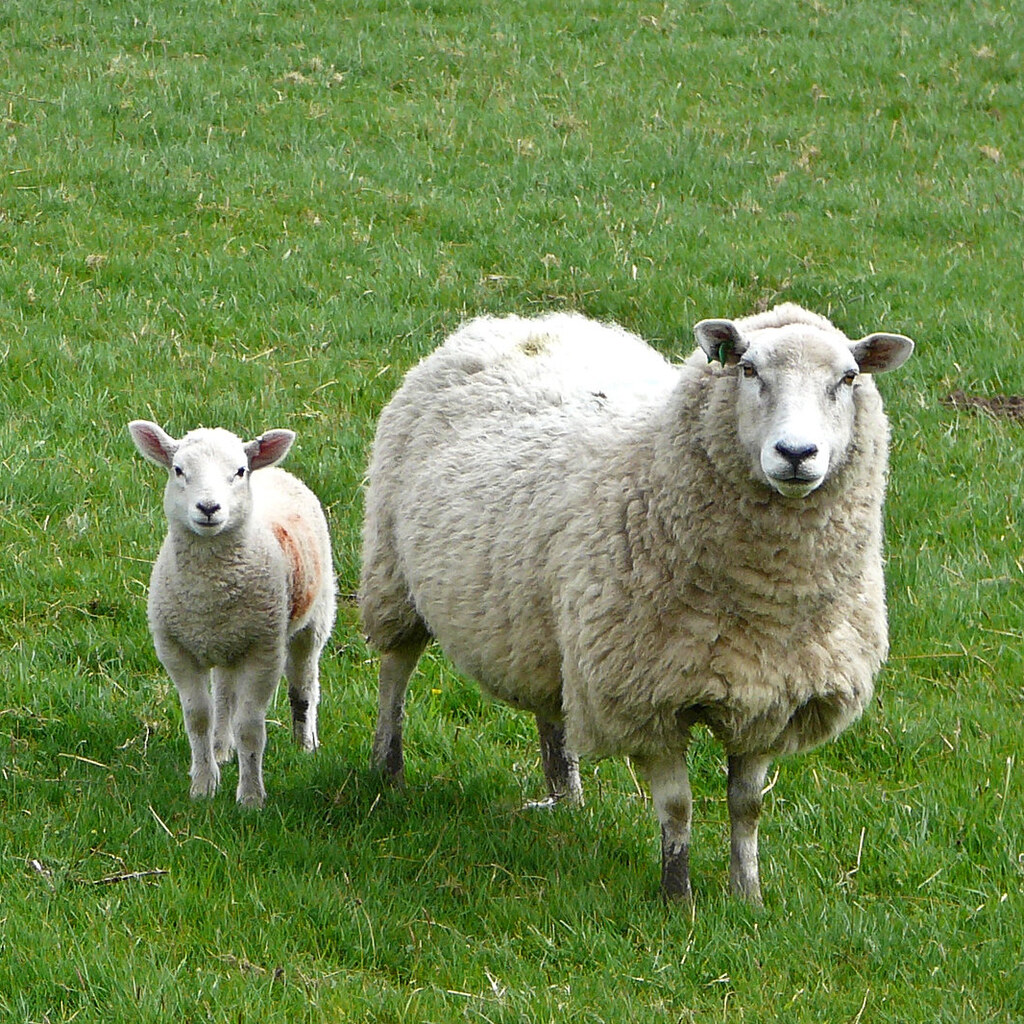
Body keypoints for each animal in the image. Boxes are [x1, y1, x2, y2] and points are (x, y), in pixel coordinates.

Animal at [129, 421, 336, 808]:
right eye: (178, 470)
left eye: (239, 471)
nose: (209, 507)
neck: (209, 592)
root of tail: (274, 471)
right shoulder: (176, 649)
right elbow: (199, 717)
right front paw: (203, 785)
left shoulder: (264, 651)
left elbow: (250, 726)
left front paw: (251, 797)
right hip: (228, 641)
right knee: (225, 695)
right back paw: (221, 749)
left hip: (316, 616)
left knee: (304, 685)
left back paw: (305, 744)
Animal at [359, 304, 913, 901]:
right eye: (747, 370)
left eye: (848, 378)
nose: (796, 454)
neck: (765, 604)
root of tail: (517, 321)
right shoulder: (647, 696)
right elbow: (678, 806)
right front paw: (677, 898)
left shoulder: (772, 695)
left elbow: (748, 806)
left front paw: (747, 895)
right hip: (392, 569)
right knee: (396, 668)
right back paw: (387, 768)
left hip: (543, 621)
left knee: (551, 700)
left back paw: (565, 797)